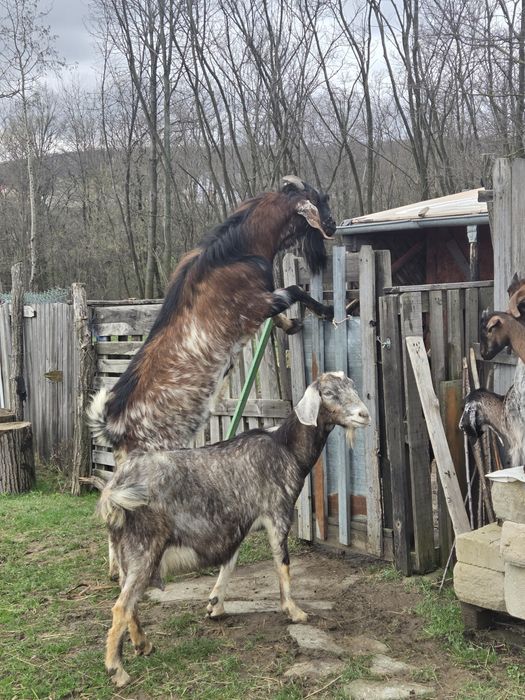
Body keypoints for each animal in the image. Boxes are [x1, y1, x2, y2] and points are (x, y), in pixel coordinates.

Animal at [97, 371, 370, 687]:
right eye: (328, 393)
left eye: (351, 386)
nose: (364, 415)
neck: (286, 448)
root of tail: (114, 490)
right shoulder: (277, 513)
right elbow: (283, 564)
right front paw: (294, 611)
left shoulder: (240, 521)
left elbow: (230, 561)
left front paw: (215, 606)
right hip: (144, 548)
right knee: (121, 606)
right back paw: (117, 670)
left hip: (126, 552)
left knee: (128, 600)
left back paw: (143, 644)